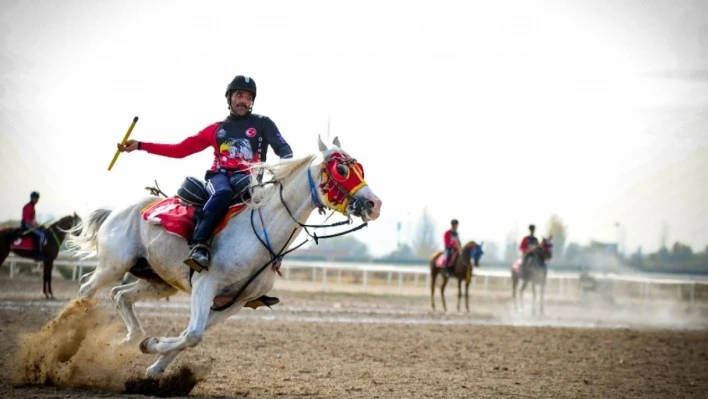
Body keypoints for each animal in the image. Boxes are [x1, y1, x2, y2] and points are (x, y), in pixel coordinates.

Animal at [66, 136, 382, 380]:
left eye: (360, 168)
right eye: (341, 169)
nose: (374, 204)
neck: (258, 235)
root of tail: (117, 210)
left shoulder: (235, 302)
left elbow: (191, 335)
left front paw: (154, 363)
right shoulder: (205, 285)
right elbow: (193, 334)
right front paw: (152, 345)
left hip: (157, 281)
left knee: (120, 295)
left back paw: (129, 338)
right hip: (114, 265)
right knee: (86, 288)